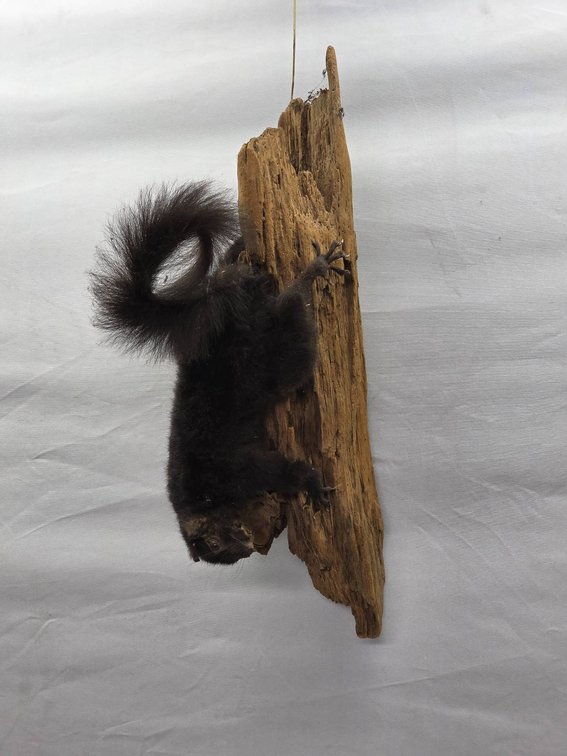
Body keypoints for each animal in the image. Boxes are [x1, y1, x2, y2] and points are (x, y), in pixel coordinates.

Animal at [90, 182, 348, 564]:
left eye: (218, 544)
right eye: (226, 553)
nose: (248, 546)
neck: (205, 498)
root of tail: (219, 303)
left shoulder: (236, 471)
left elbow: (286, 471)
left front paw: (313, 486)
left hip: (267, 356)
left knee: (293, 315)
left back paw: (311, 271)